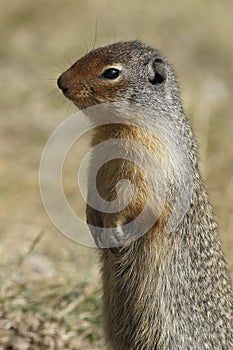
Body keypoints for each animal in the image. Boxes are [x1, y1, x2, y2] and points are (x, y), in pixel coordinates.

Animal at [57, 41, 232, 350]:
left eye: (111, 72)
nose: (61, 82)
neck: (115, 128)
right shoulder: (96, 167)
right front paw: (95, 227)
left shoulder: (148, 169)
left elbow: (139, 204)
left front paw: (116, 234)